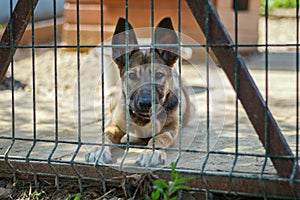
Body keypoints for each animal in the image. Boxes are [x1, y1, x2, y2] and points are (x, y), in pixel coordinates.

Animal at [85, 16, 192, 167]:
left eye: (158, 75)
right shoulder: (115, 124)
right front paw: (99, 150)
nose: (146, 104)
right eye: (132, 76)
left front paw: (152, 153)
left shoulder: (170, 128)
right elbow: (105, 135)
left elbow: (159, 137)